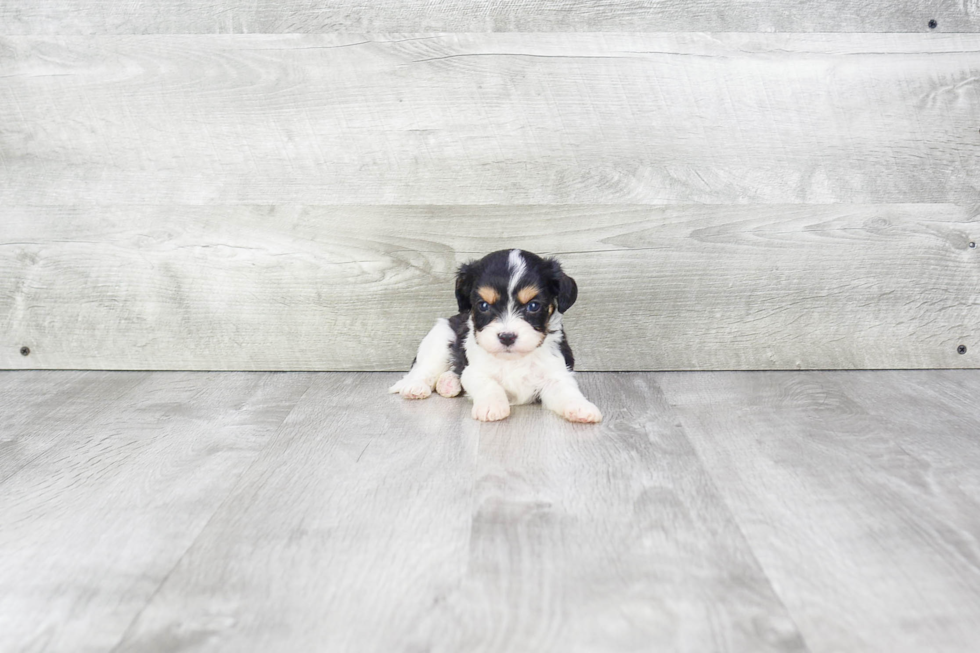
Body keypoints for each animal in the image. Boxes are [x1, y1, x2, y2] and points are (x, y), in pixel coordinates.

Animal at [386, 248, 600, 422]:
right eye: (483, 306)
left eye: (533, 306)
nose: (507, 337)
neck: (514, 359)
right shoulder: (475, 371)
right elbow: (489, 384)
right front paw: (492, 407)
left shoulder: (556, 373)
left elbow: (567, 391)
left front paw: (581, 408)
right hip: (440, 339)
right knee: (423, 369)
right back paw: (415, 387)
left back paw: (449, 383)